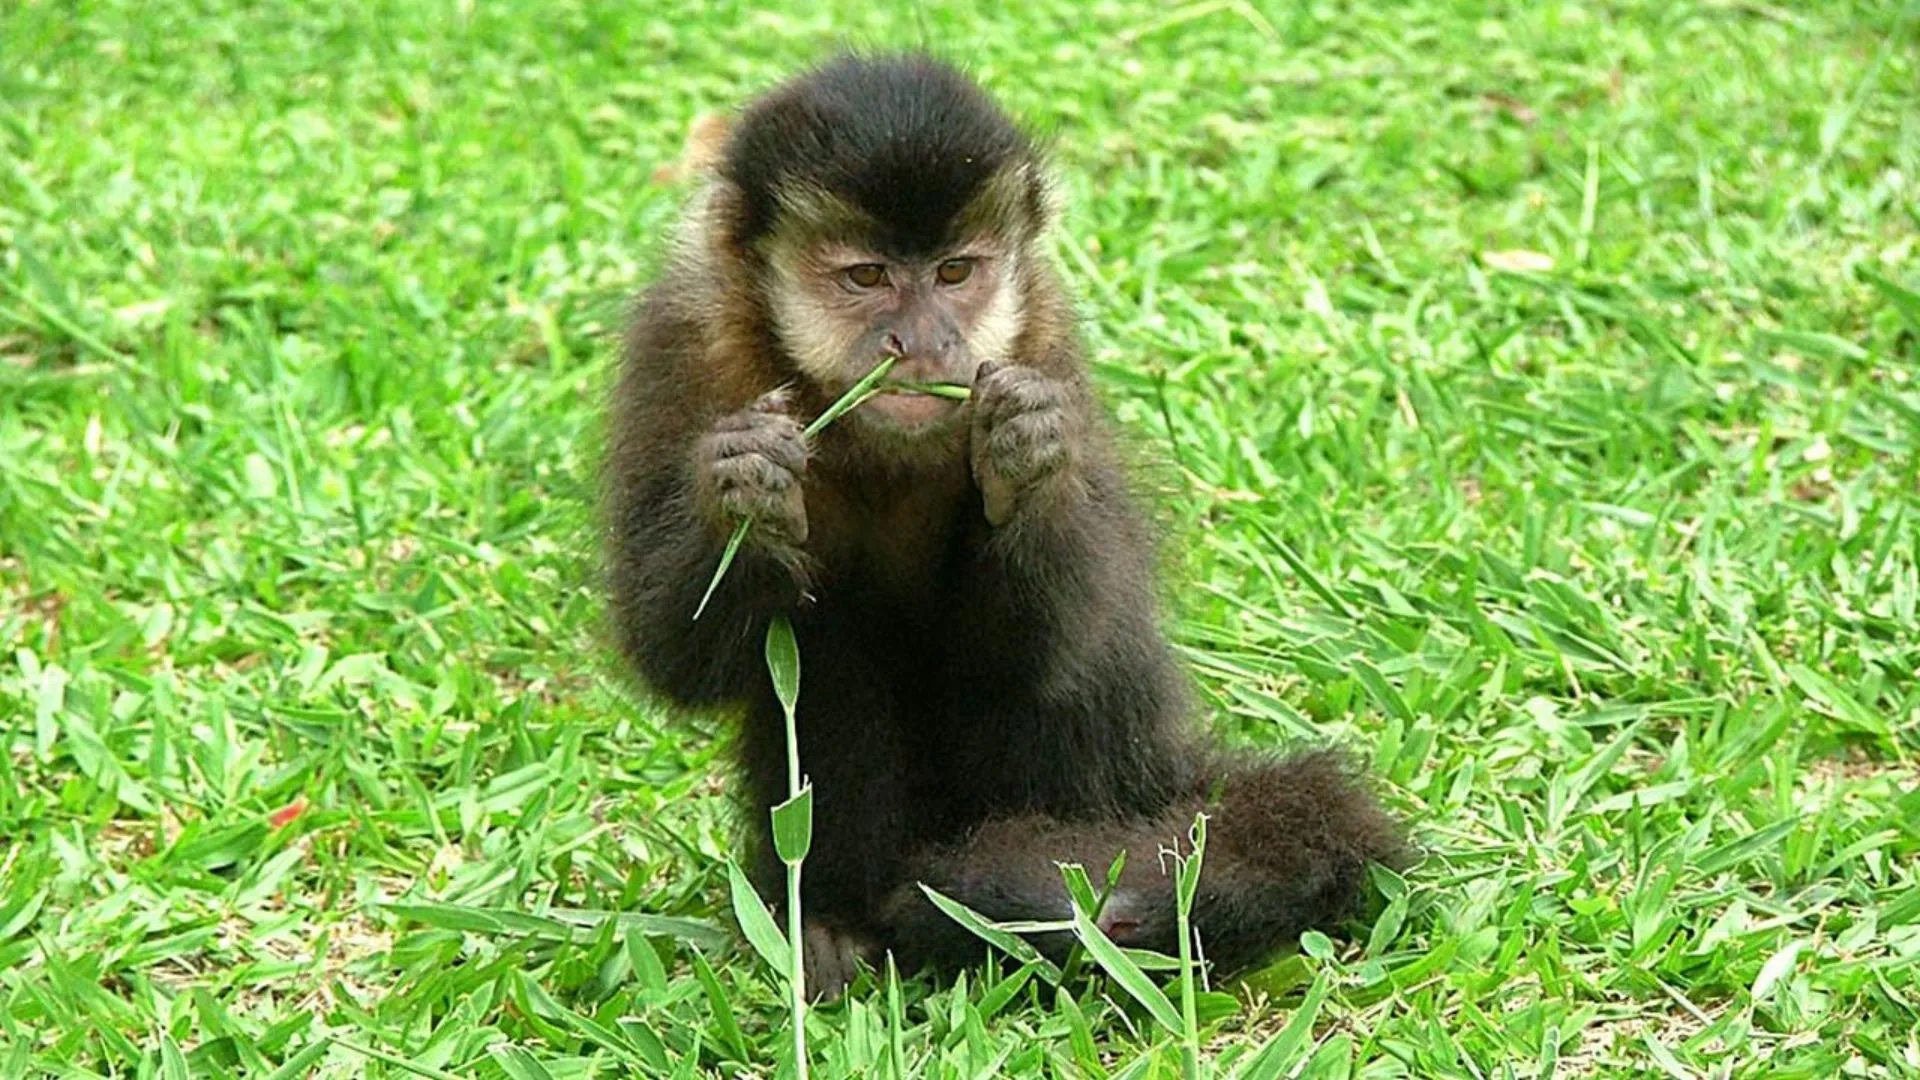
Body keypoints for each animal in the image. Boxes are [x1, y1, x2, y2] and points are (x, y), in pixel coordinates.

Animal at [602, 52, 1406, 997]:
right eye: (868, 278)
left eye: (956, 273)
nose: (922, 341)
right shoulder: (685, 337)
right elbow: (675, 655)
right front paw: (744, 487)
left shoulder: (1042, 336)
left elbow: (1060, 639)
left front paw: (1027, 459)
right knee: (827, 647)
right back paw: (833, 918)